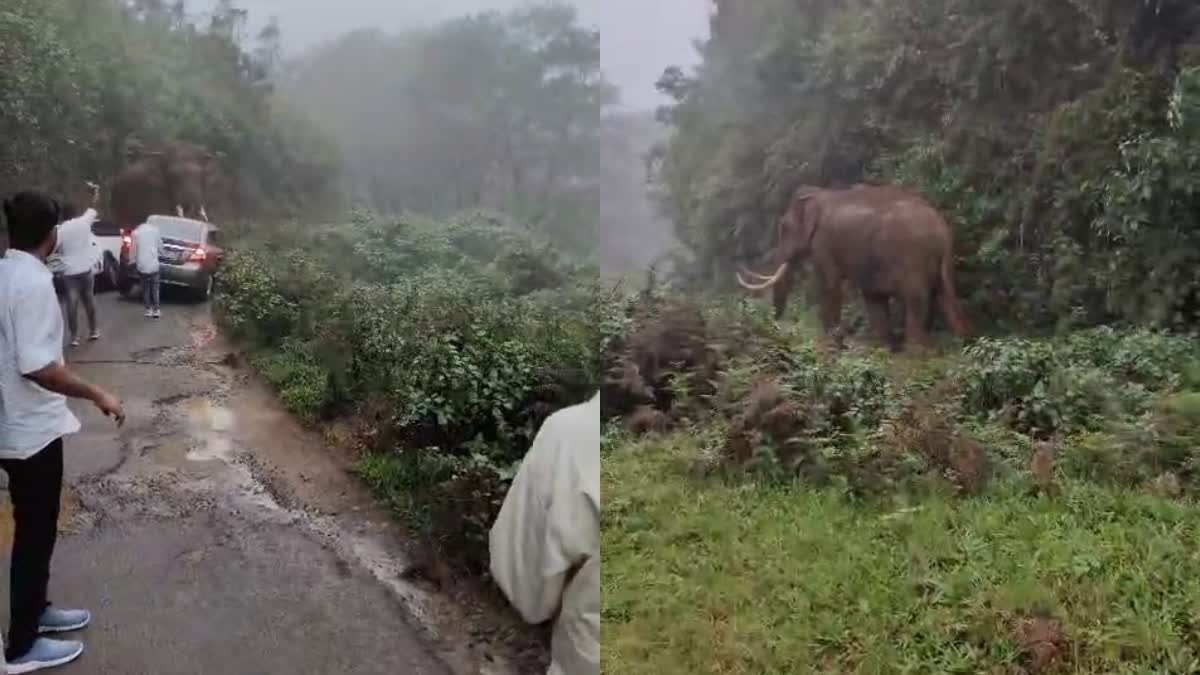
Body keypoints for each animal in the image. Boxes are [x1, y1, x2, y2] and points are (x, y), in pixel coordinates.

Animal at [734, 183, 969, 353]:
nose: (776, 324)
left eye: (784, 227)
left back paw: (917, 353)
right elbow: (872, 298)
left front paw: (830, 341)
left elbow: (830, 283)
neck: (819, 193)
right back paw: (961, 343)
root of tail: (940, 229)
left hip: (912, 256)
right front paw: (887, 349)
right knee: (945, 297)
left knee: (916, 300)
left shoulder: (824, 241)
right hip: (941, 262)